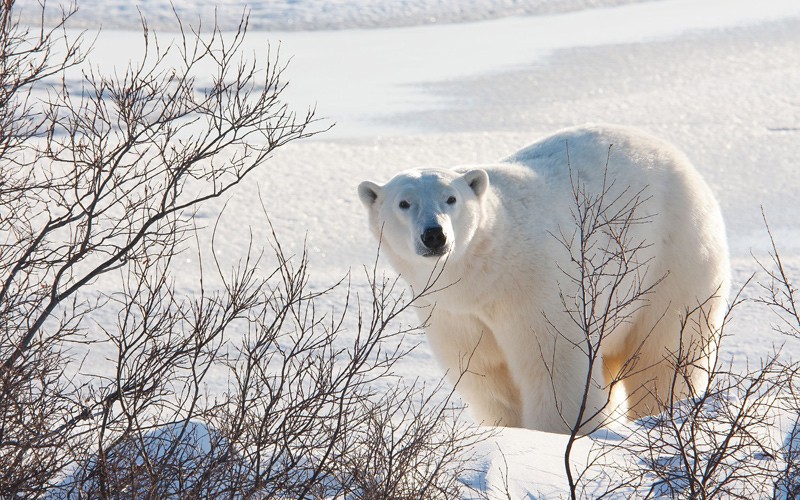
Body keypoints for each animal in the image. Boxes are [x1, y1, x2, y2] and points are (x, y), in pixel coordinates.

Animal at [360, 126, 728, 434]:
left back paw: (661, 413)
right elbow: (487, 374)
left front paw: (559, 433)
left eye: (451, 199)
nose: (434, 235)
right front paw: (508, 431)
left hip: (673, 256)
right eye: (404, 203)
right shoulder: (453, 313)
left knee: (665, 352)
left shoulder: (536, 287)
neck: (485, 272)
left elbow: (553, 365)